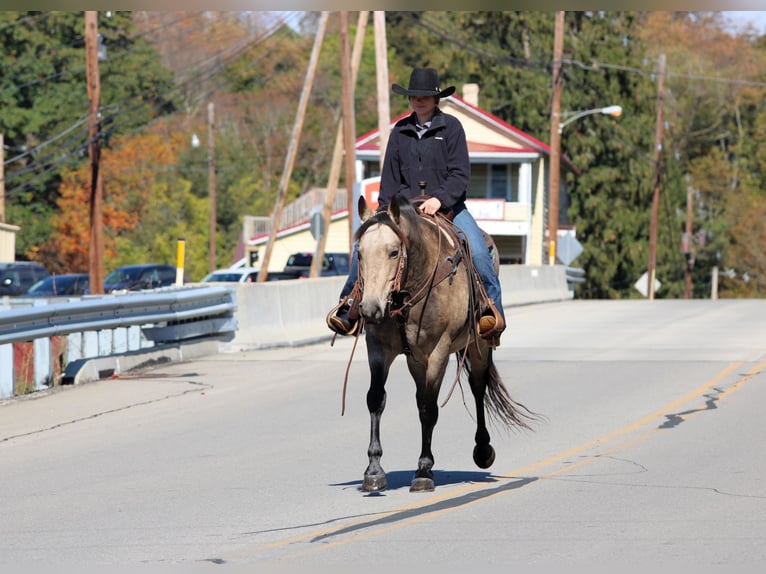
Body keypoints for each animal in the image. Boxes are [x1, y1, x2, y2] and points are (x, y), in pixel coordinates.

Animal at [351, 194, 536, 492]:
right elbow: (376, 399)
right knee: (420, 396)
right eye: (359, 253)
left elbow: (429, 409)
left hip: (479, 346)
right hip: (415, 360)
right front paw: (374, 470)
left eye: (393, 252)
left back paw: (483, 450)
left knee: (477, 387)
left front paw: (424, 471)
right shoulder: (378, 348)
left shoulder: (438, 352)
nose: (369, 309)